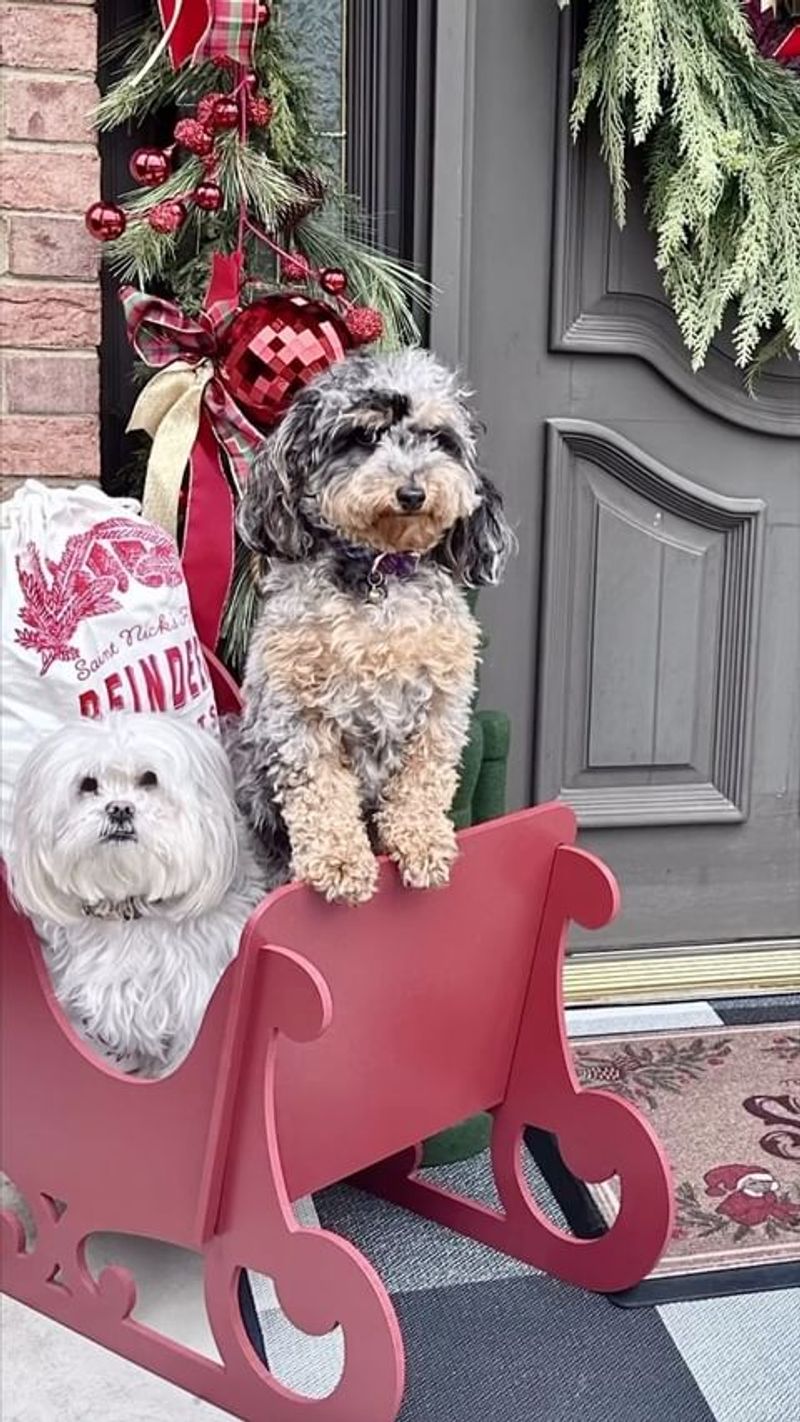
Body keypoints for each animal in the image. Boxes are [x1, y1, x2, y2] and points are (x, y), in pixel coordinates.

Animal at [230, 346, 514, 898]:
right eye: (363, 437)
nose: (412, 492)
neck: (380, 571)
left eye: (437, 438)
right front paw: (340, 863)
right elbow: (321, 793)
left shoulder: (440, 712)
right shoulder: (299, 715)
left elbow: (423, 782)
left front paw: (424, 843)